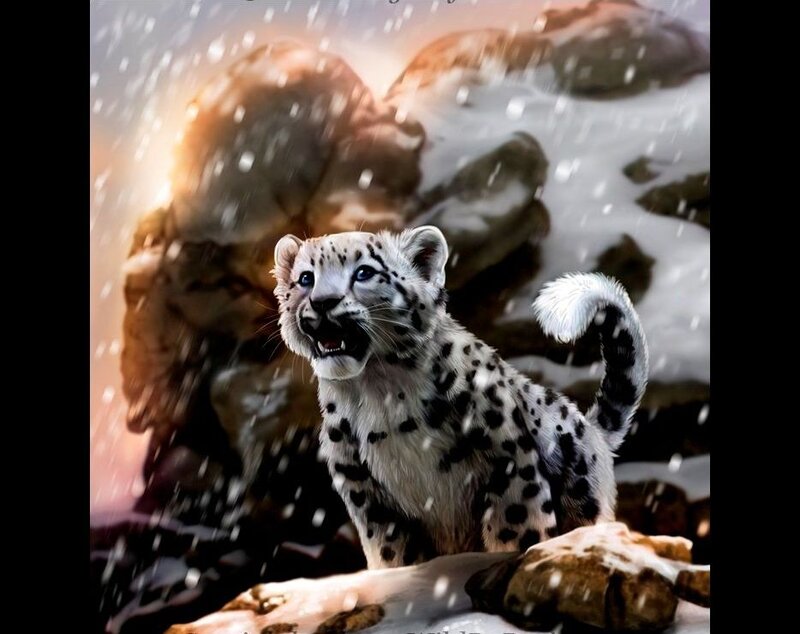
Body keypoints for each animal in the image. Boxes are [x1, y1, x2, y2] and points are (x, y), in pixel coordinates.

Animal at [273, 226, 648, 569]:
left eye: (364, 272)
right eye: (305, 278)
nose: (323, 302)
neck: (379, 391)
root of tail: (592, 429)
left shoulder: (508, 463)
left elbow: (516, 528)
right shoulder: (364, 491)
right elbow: (392, 553)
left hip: (582, 496)